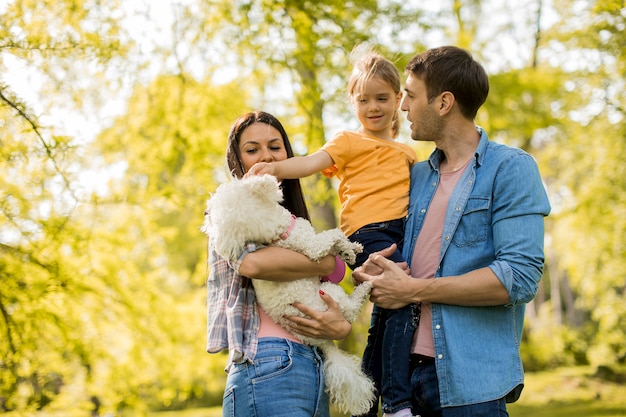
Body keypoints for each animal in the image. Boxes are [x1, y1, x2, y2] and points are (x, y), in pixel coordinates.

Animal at [202, 174, 372, 414]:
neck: (277, 231)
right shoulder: (314, 248)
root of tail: (323, 343)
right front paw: (348, 250)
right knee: (350, 310)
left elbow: (336, 242)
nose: (205, 213)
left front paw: (351, 248)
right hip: (331, 296)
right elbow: (333, 235)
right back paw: (365, 286)